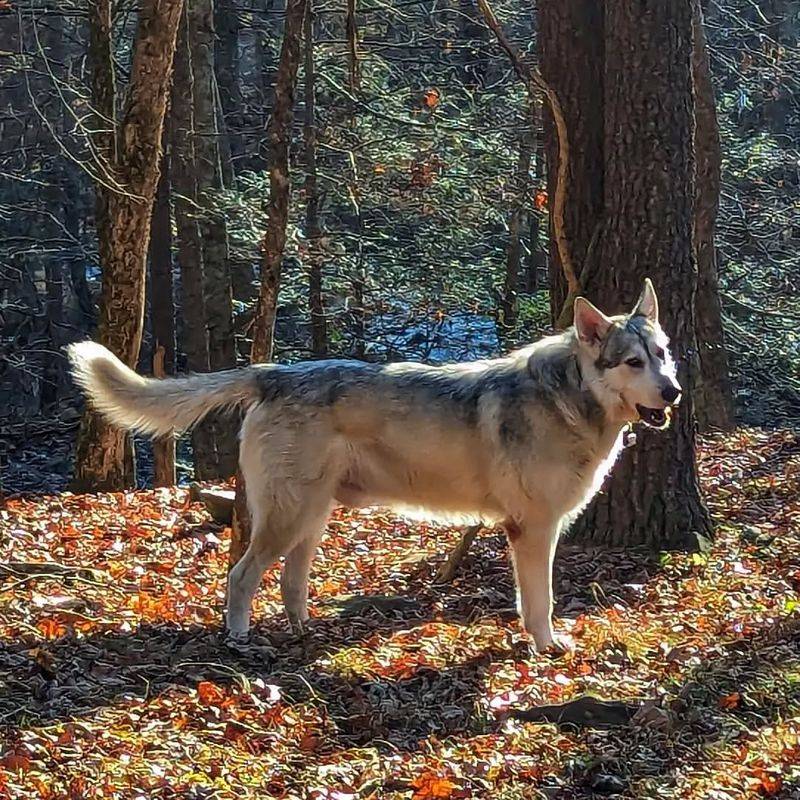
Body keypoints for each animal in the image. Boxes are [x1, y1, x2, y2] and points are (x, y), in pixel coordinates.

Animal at [70, 278, 680, 652]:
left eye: (663, 354)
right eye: (631, 362)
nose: (674, 392)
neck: (570, 399)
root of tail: (274, 372)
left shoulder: (526, 531)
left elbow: (527, 599)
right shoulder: (533, 529)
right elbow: (541, 602)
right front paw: (546, 648)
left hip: (312, 518)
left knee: (290, 582)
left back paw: (304, 630)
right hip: (288, 518)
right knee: (240, 576)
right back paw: (239, 639)